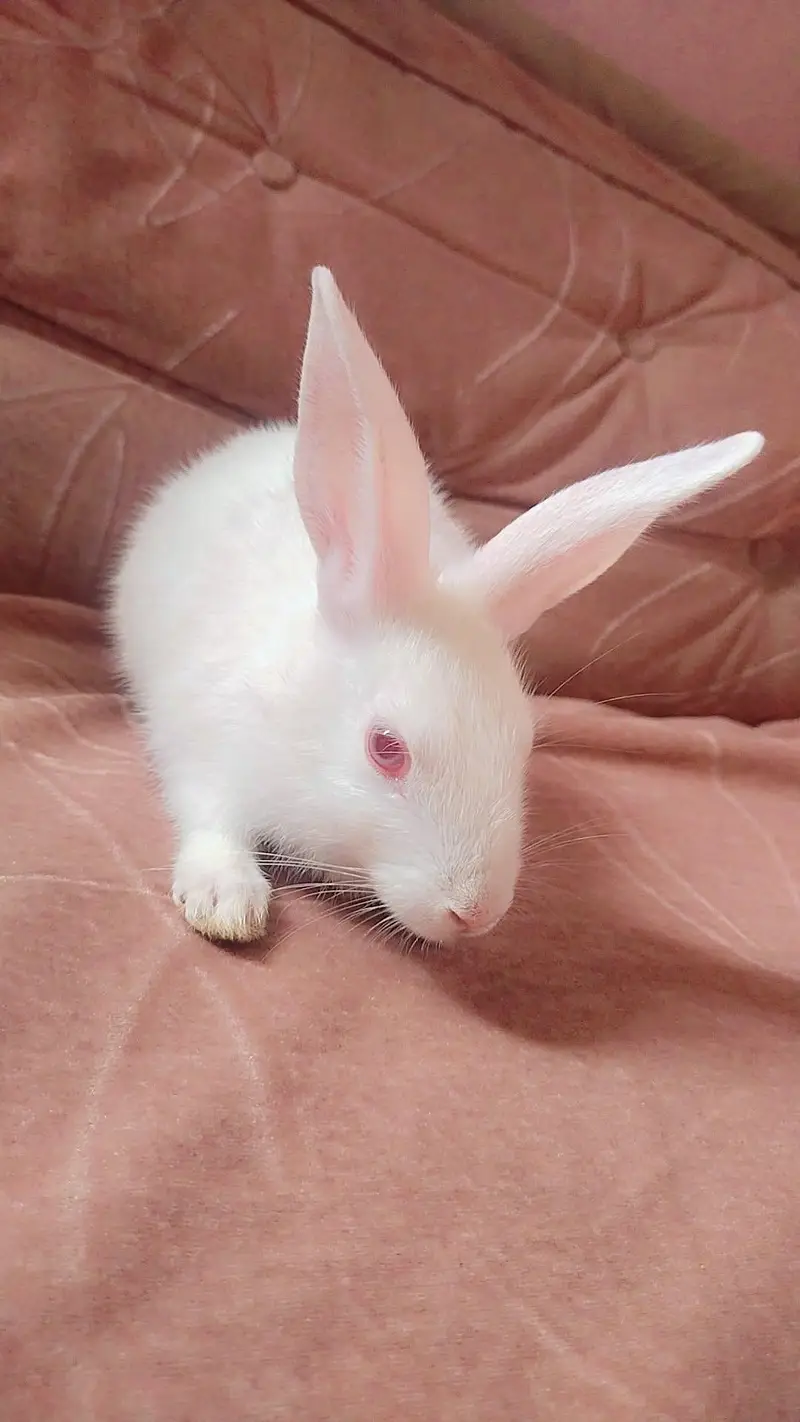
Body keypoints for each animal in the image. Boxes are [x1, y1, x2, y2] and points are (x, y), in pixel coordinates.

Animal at [109, 265, 764, 945]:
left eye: (524, 743)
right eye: (385, 749)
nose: (476, 914)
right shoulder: (200, 746)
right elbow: (210, 823)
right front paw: (227, 905)